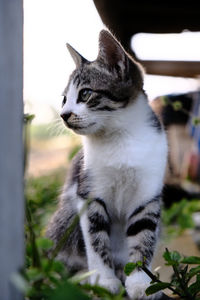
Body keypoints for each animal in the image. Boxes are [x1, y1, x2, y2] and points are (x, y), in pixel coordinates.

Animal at [46, 29, 167, 298]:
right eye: (64, 99)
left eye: (85, 93)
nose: (64, 115)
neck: (119, 138)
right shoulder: (88, 192)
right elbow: (95, 238)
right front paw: (103, 280)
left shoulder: (147, 195)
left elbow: (143, 236)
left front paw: (141, 281)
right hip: (65, 219)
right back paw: (79, 277)